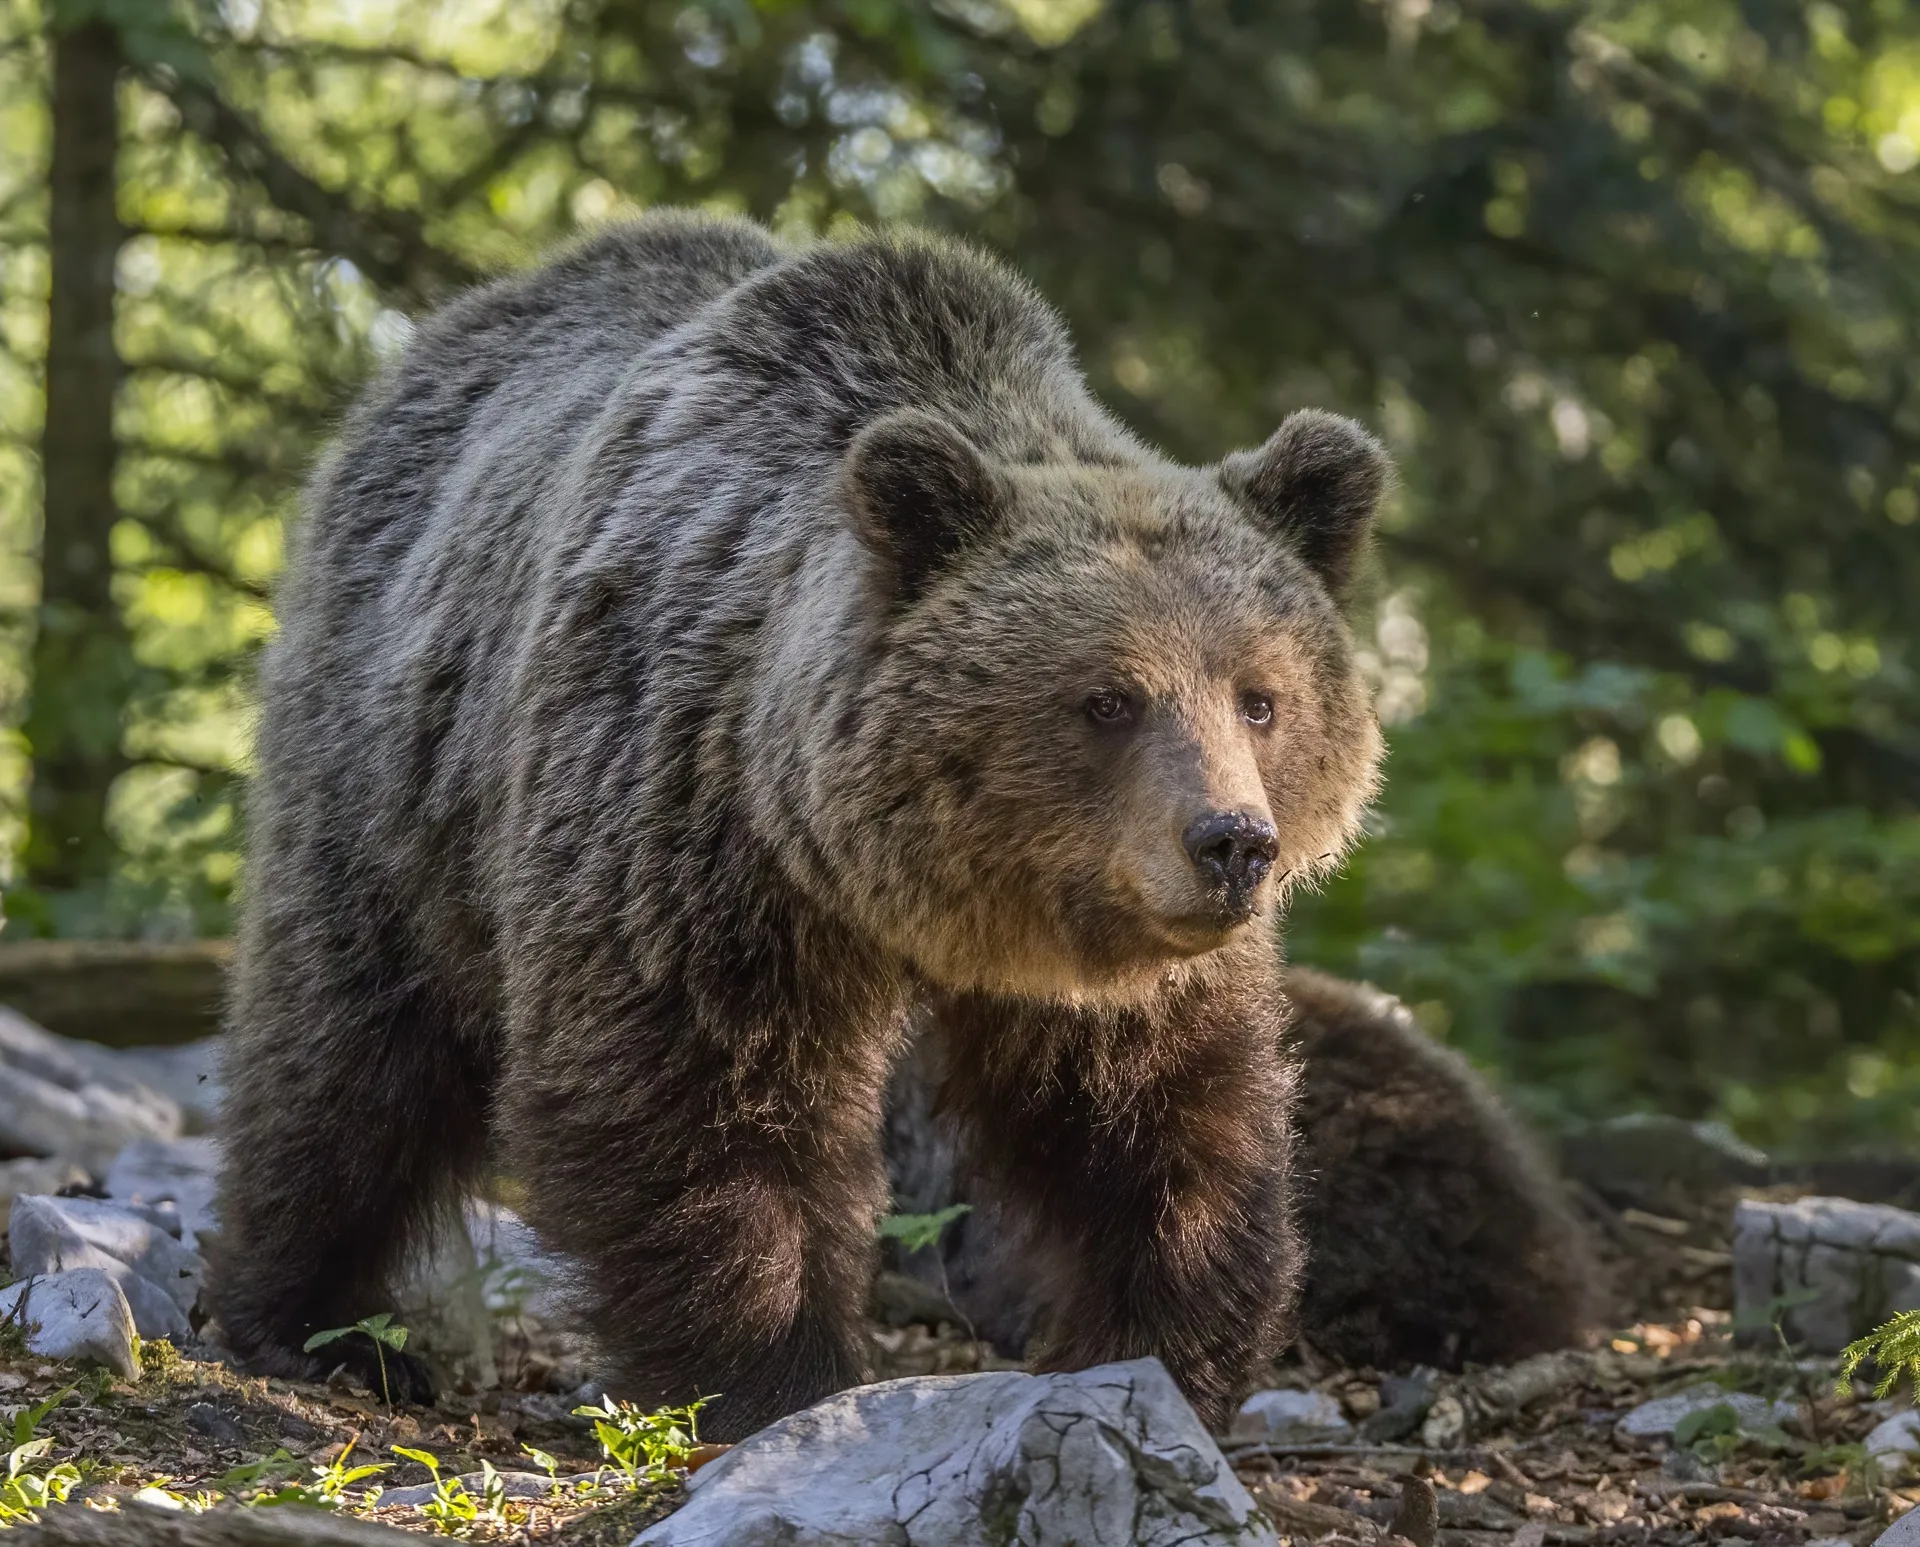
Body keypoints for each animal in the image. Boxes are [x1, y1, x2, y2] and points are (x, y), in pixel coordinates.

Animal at [209, 210, 1391, 1439]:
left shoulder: (1114, 955)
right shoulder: (687, 828)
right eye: (1108, 698)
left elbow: (1161, 1117)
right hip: (394, 767)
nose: (1231, 842)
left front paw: (1157, 1349)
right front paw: (773, 1375)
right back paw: (316, 1322)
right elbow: (694, 1096)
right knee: (349, 1049)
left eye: (1260, 696)